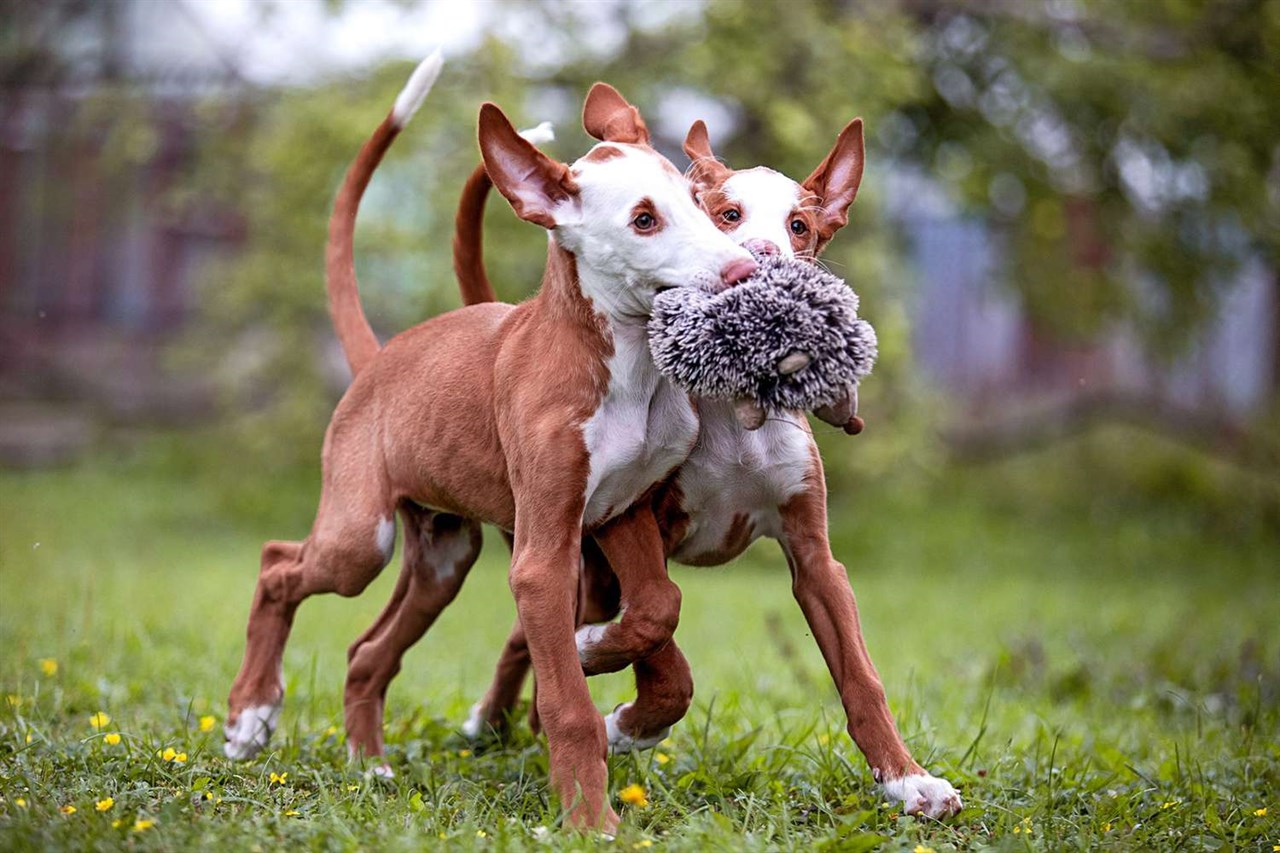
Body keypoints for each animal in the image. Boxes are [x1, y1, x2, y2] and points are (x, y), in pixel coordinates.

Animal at [224, 49, 752, 824]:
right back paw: (250, 715)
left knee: (365, 653)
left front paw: (599, 652)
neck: (624, 371)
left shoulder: (619, 510)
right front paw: (590, 819)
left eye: (696, 199)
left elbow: (660, 607)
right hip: (360, 537)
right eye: (643, 220)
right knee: (277, 566)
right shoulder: (541, 557)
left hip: (444, 555)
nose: (744, 271)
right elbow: (567, 705)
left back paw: (370, 766)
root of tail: (379, 358)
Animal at [340, 103, 962, 819]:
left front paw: (908, 779)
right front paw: (625, 719)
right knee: (537, 631)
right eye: (726, 214)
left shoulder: (814, 557)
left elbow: (860, 677)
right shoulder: (635, 528)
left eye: (799, 226)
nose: (759, 260)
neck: (732, 415)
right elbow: (661, 636)